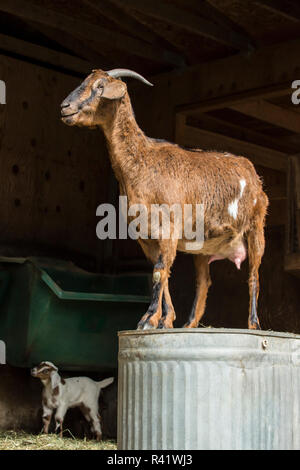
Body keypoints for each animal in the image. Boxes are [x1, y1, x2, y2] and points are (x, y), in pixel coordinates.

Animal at [61, 68, 268, 330]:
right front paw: (164, 320)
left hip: (256, 228)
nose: (65, 107)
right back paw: (189, 325)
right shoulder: (145, 236)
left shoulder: (169, 227)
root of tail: (253, 173)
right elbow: (162, 272)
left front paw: (148, 319)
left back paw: (254, 325)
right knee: (204, 282)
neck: (142, 162)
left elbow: (160, 271)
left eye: (100, 86)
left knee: (254, 275)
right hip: (202, 246)